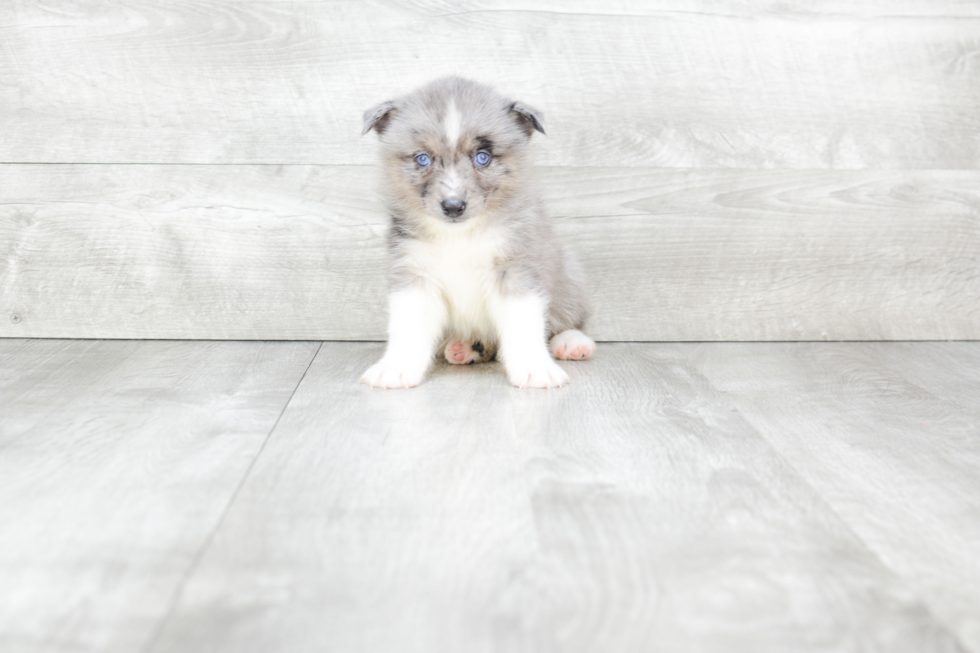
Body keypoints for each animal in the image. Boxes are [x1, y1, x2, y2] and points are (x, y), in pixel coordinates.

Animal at [358, 76, 592, 388]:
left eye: (483, 157)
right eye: (423, 159)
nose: (453, 206)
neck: (460, 237)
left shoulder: (515, 270)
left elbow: (524, 325)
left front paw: (534, 369)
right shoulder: (414, 275)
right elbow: (408, 327)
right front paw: (395, 368)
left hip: (570, 278)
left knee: (565, 322)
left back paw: (571, 342)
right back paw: (467, 347)